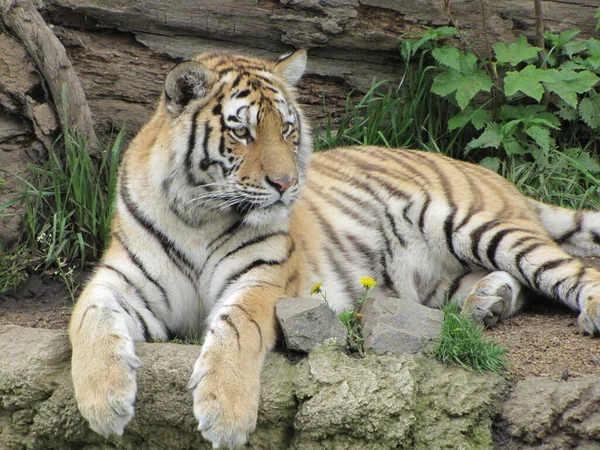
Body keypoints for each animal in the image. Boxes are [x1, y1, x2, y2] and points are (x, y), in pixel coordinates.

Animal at [68, 47, 600, 448]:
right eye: (242, 131)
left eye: (287, 128)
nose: (286, 184)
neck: (198, 215)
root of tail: (502, 181)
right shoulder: (120, 281)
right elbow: (88, 321)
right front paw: (104, 403)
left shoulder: (262, 278)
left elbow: (237, 330)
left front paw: (224, 415)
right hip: (432, 281)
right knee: (516, 286)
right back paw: (487, 302)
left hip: (472, 223)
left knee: (570, 270)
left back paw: (584, 310)